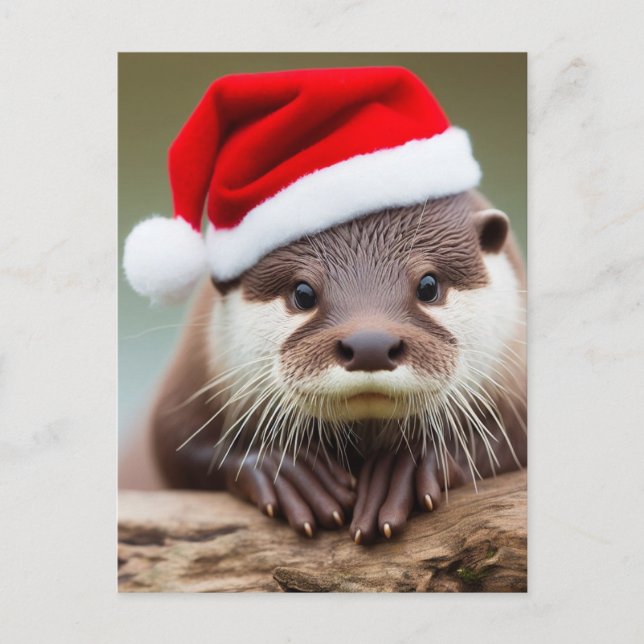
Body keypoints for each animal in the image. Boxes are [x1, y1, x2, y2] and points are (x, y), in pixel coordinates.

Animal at [120, 189, 526, 545]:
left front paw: (403, 467)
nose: (369, 346)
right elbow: (176, 446)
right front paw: (286, 468)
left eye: (428, 285)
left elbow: (509, 438)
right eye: (303, 293)